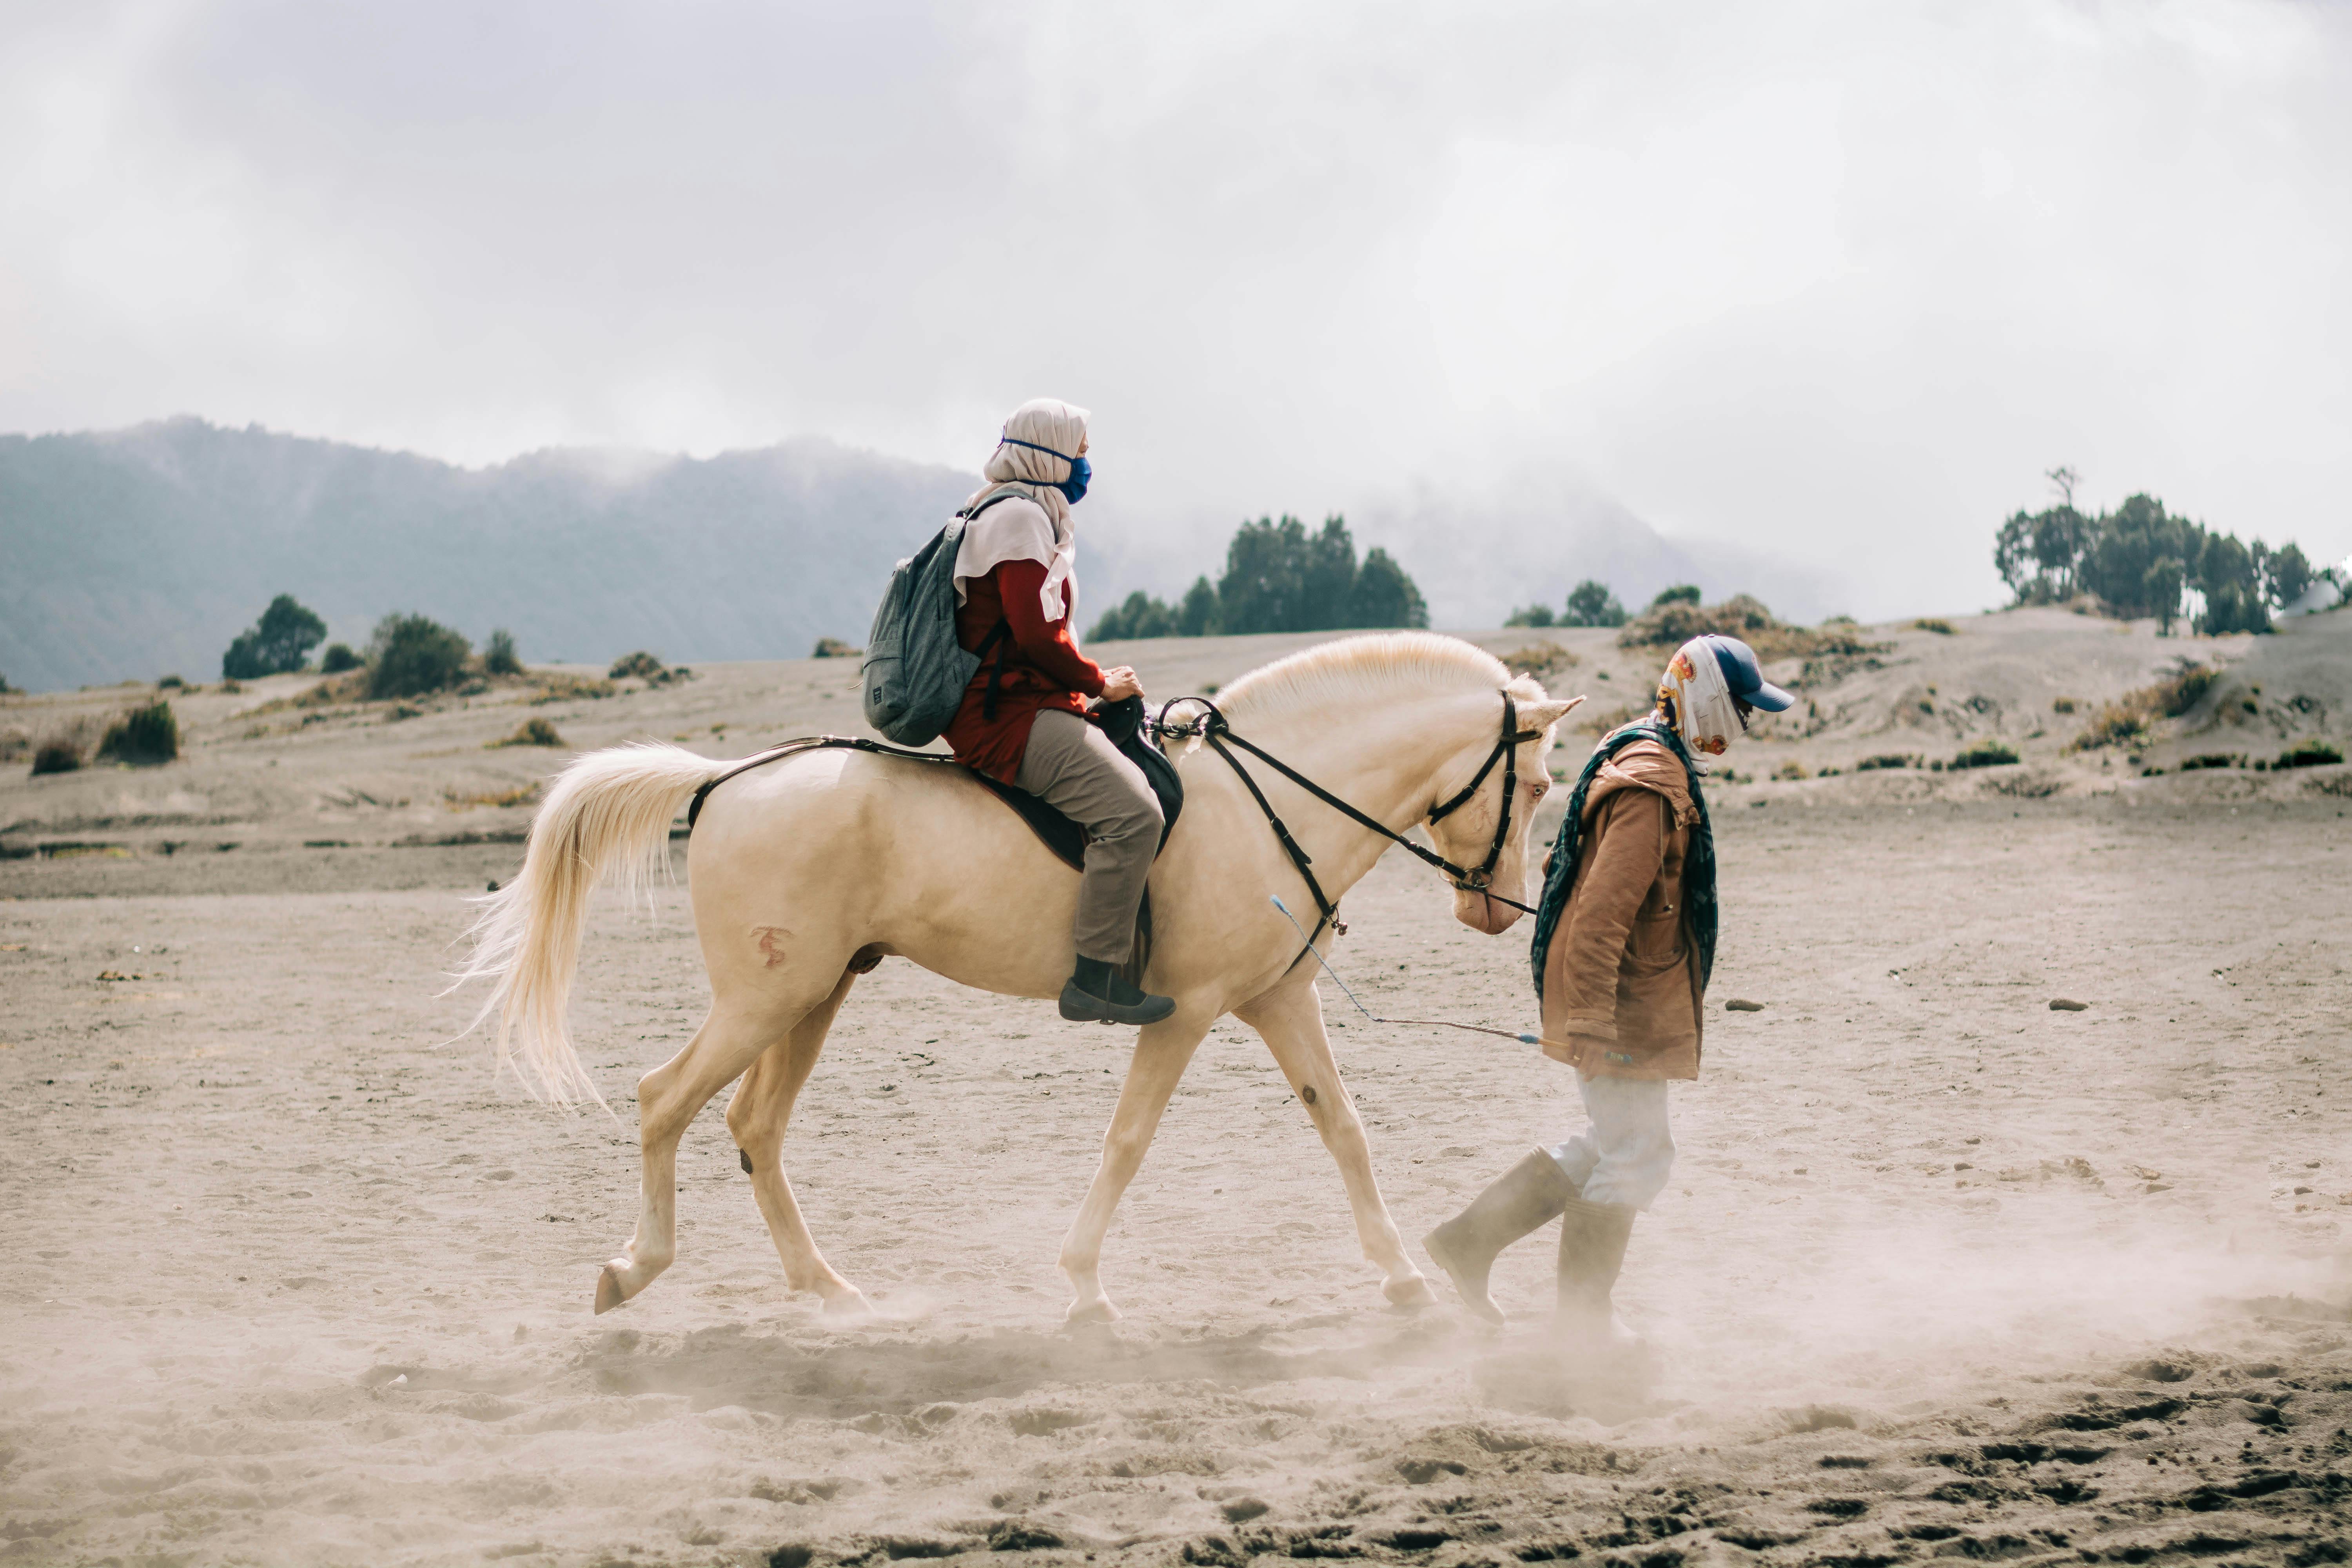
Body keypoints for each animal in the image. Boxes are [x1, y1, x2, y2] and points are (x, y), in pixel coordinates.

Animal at [449, 630, 1571, 1335]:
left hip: (813, 996)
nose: (1498, 910)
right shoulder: (1188, 1013)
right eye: (1538, 784)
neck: (1271, 801)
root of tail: (725, 778)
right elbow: (1128, 1142)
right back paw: (634, 1268)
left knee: (752, 1128)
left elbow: (1345, 1130)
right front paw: (1083, 1289)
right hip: (767, 1000)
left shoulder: (1278, 1000)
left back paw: (829, 1290)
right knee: (663, 1100)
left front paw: (1407, 1279)